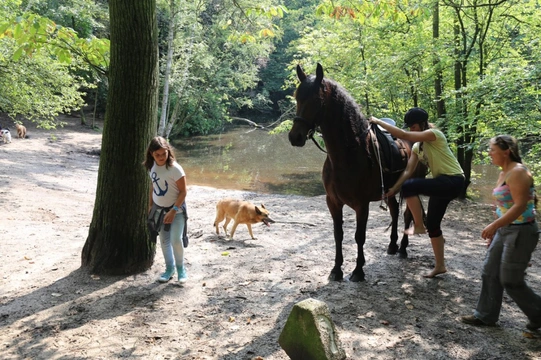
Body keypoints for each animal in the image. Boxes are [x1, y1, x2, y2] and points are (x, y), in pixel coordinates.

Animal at [288, 64, 424, 282]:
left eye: (316, 100)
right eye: (297, 97)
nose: (295, 137)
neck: (348, 155)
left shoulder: (362, 205)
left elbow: (359, 236)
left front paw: (358, 270)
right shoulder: (333, 202)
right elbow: (338, 234)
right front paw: (336, 269)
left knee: (407, 214)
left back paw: (403, 248)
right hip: (391, 191)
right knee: (395, 211)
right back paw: (392, 245)